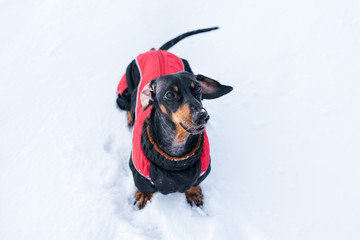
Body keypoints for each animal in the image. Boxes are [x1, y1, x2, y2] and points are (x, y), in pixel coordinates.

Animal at [116, 27, 232, 209]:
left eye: (198, 88)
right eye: (170, 94)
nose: (203, 116)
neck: (177, 159)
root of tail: (156, 50)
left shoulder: (203, 168)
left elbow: (194, 182)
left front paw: (193, 192)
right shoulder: (139, 170)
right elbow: (143, 185)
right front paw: (143, 195)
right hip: (127, 85)